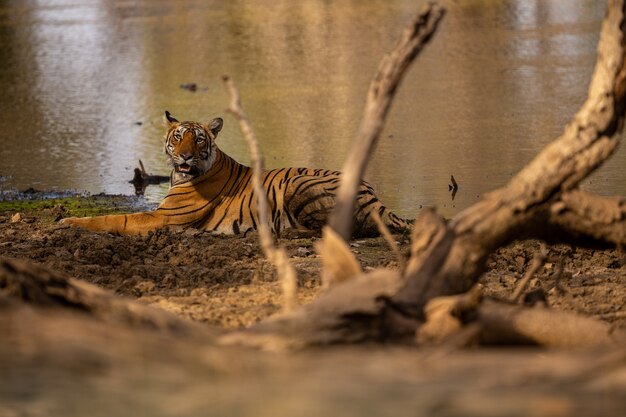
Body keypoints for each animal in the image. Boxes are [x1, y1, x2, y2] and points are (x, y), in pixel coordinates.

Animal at [59, 111, 410, 237]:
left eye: (199, 139)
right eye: (178, 137)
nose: (185, 155)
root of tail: (376, 196)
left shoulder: (162, 217)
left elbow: (113, 219)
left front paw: (66, 221)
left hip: (297, 183)